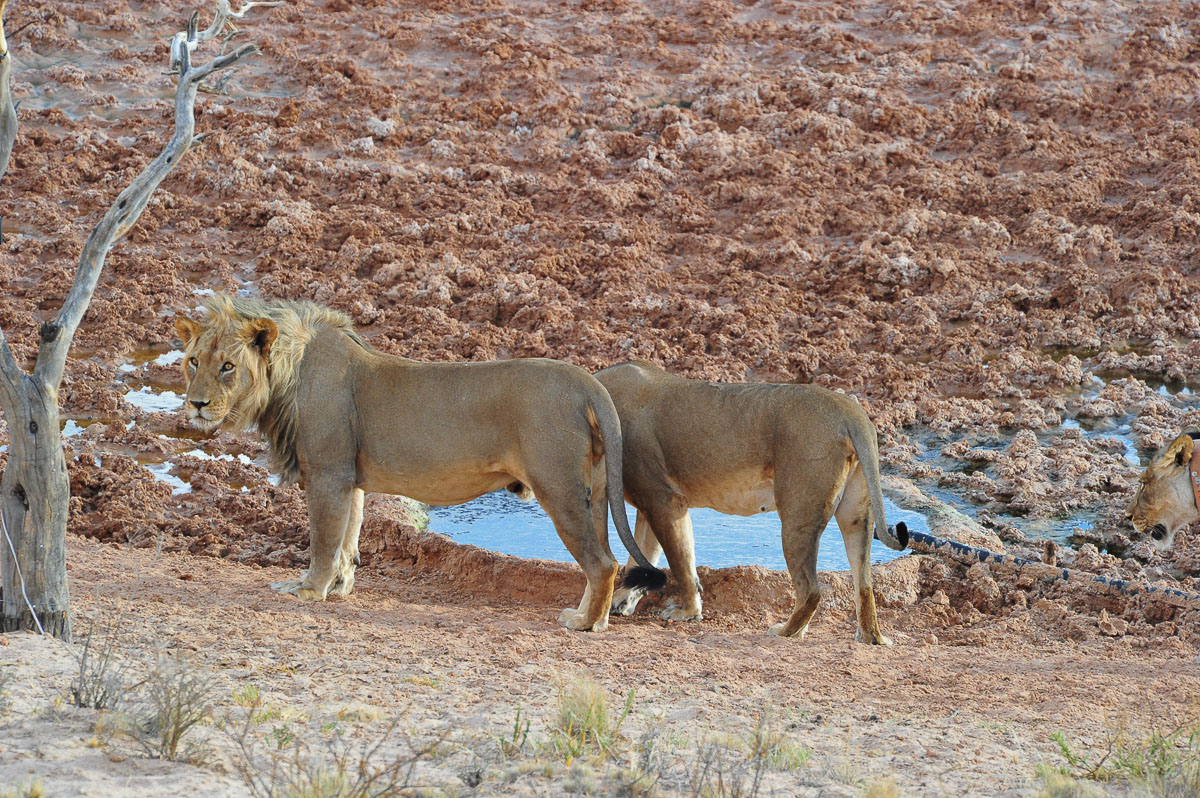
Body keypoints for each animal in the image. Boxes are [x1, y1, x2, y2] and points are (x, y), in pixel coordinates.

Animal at [174, 295, 665, 631]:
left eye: (227, 367)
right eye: (193, 361)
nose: (196, 404)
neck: (285, 375)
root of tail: (588, 382)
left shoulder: (328, 475)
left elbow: (324, 540)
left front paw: (308, 590)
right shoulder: (349, 479)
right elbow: (348, 538)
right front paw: (339, 588)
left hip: (557, 486)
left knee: (601, 562)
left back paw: (585, 624)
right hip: (593, 491)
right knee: (605, 557)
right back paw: (589, 615)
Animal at [591, 362, 909, 644]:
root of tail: (851, 411)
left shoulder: (663, 500)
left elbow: (679, 562)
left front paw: (687, 612)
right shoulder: (654, 501)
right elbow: (646, 552)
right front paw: (622, 600)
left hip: (798, 516)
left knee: (811, 590)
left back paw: (786, 632)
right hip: (856, 515)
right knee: (864, 583)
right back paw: (870, 637)